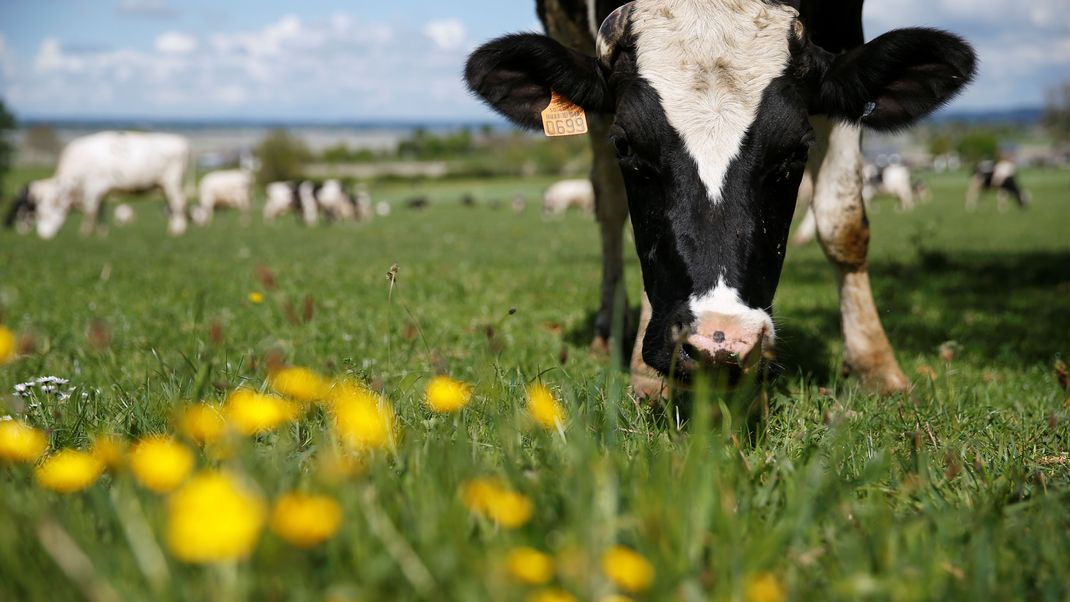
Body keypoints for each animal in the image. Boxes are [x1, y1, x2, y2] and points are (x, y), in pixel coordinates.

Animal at [464, 0, 975, 393]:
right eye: (625, 145)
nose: (720, 340)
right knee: (607, 208)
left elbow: (843, 223)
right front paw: (645, 376)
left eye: (797, 150)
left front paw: (876, 365)